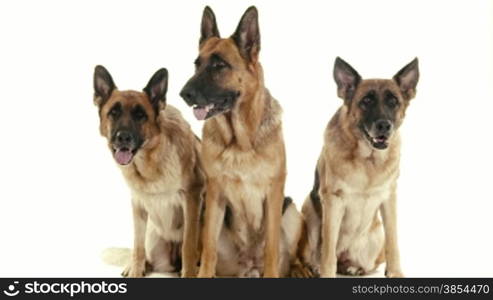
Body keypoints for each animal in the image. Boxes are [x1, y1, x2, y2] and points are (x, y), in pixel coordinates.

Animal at [93, 64, 203, 278]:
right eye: (114, 112)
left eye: (140, 115)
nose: (123, 138)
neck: (151, 162)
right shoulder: (138, 203)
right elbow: (137, 244)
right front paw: (135, 270)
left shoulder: (191, 198)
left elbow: (188, 245)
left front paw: (189, 273)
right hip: (156, 243)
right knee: (145, 254)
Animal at [179, 6, 306, 278]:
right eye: (197, 65)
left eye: (219, 65)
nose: (183, 94)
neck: (241, 142)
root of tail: (249, 265)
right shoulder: (214, 193)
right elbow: (209, 250)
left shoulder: (274, 192)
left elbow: (271, 248)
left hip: (290, 211)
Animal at [300, 56, 418, 276]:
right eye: (366, 101)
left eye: (393, 102)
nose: (384, 125)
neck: (368, 160)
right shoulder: (333, 201)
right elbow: (328, 249)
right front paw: (326, 272)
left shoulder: (389, 199)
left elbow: (393, 241)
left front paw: (395, 272)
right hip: (309, 212)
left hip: (376, 234)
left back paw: (354, 268)